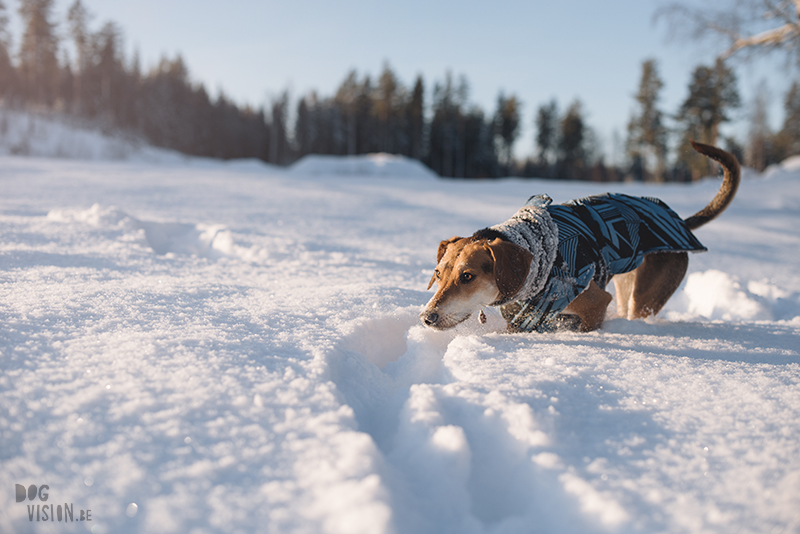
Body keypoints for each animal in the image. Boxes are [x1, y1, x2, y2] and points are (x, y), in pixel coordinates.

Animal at [422, 142, 740, 336]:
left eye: (467, 276)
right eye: (437, 274)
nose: (427, 317)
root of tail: (680, 222)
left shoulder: (595, 305)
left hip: (645, 296)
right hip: (626, 288)